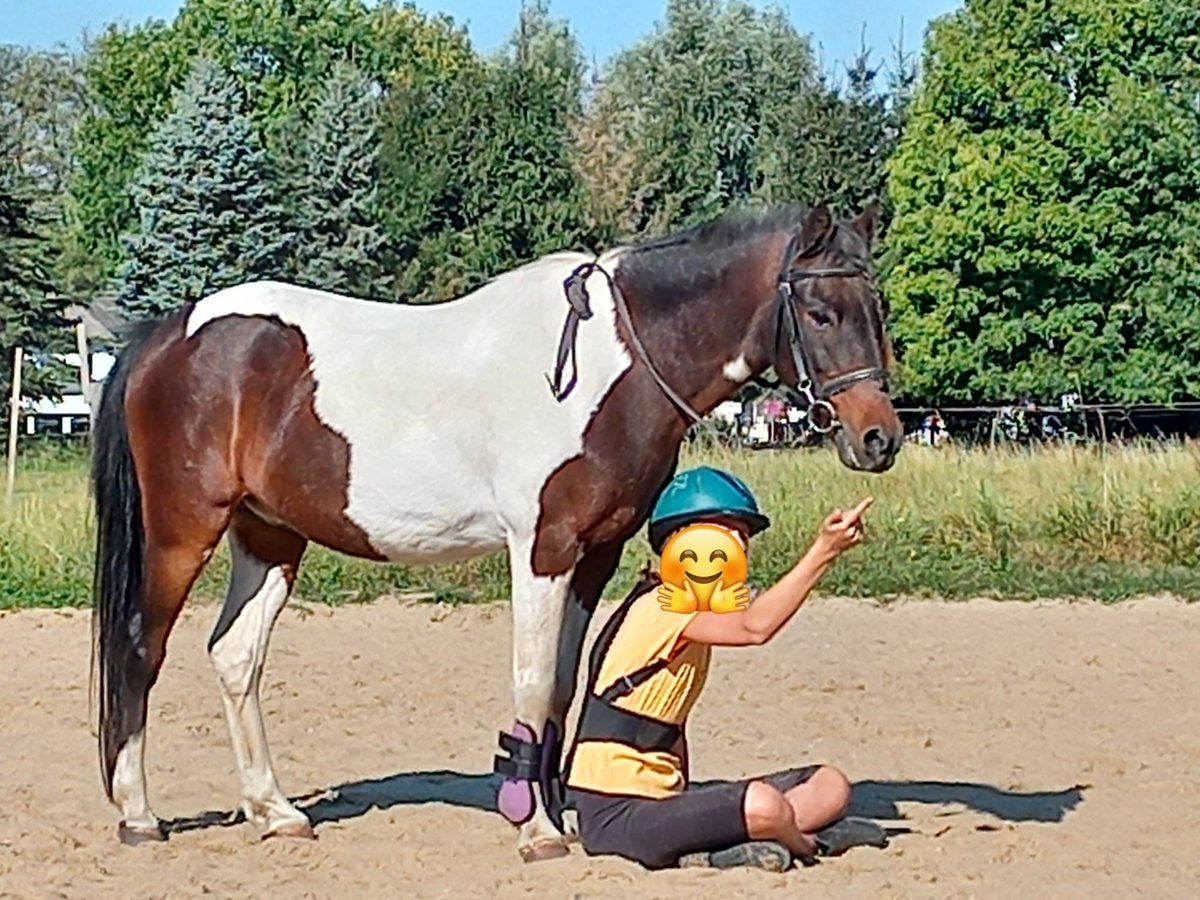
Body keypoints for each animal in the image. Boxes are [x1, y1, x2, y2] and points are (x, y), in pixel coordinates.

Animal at [89, 201, 903, 863]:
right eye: (821, 313)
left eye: (877, 307)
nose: (879, 439)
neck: (612, 362)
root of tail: (167, 334)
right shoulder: (542, 549)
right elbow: (532, 680)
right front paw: (535, 829)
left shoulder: (596, 552)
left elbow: (565, 684)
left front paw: (560, 812)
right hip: (183, 531)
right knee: (139, 648)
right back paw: (138, 815)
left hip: (269, 536)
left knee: (235, 657)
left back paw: (274, 811)